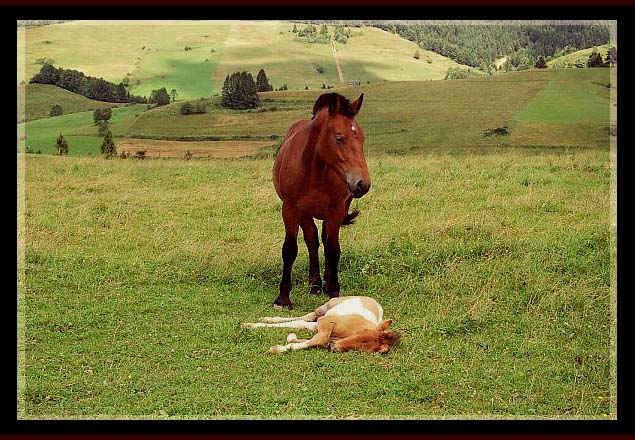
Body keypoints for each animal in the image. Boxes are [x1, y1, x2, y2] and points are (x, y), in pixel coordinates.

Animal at [245, 296, 400, 354]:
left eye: (361, 348)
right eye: (359, 335)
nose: (333, 348)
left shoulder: (323, 329)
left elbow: (314, 340)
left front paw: (286, 343)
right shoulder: (326, 322)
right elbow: (320, 339)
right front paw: (277, 348)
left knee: (301, 322)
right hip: (324, 309)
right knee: (305, 317)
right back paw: (254, 323)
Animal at [270, 93, 370, 308]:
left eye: (362, 138)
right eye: (339, 138)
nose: (363, 184)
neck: (314, 170)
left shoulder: (337, 210)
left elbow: (333, 249)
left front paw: (333, 290)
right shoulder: (290, 209)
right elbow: (290, 249)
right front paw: (283, 298)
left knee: (323, 239)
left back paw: (323, 282)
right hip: (304, 214)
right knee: (312, 241)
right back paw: (315, 284)